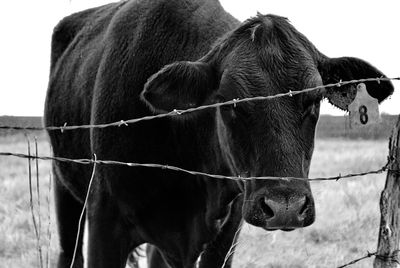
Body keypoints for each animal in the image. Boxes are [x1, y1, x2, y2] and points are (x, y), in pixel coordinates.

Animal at [44, 0, 394, 268]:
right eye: (229, 101)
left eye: (314, 98)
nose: (286, 206)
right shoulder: (105, 222)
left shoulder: (228, 230)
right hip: (64, 188)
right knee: (67, 253)